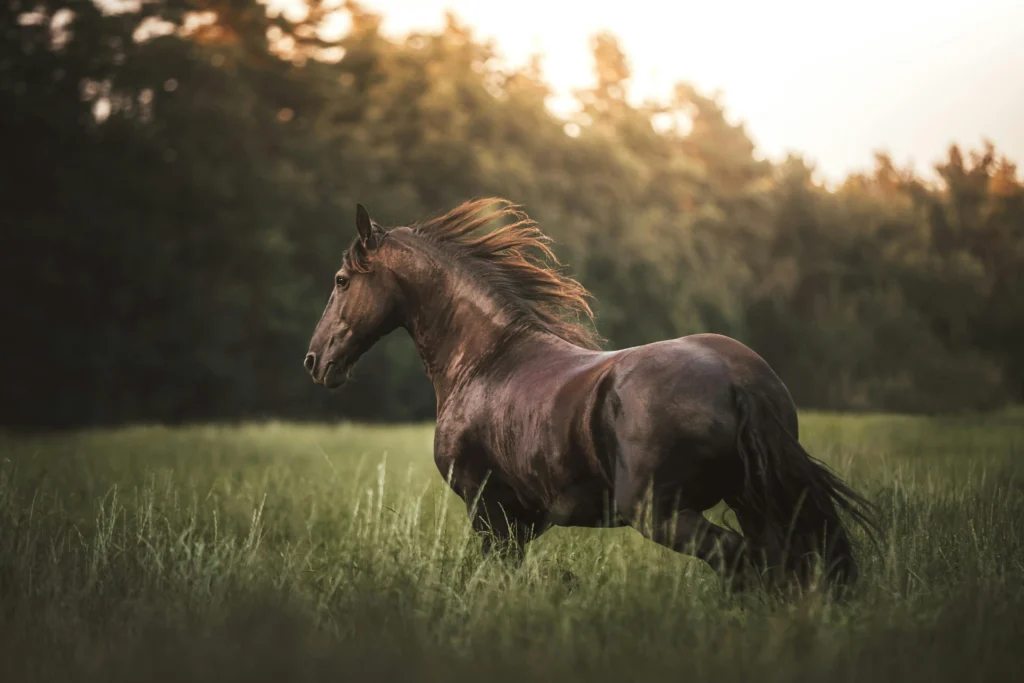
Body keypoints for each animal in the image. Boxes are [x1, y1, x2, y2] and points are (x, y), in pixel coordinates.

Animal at [304, 198, 877, 591]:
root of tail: (738, 378)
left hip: (661, 512)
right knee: (785, 565)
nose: (315, 361)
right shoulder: (522, 520)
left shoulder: (487, 508)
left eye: (340, 280)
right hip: (754, 500)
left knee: (743, 561)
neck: (485, 359)